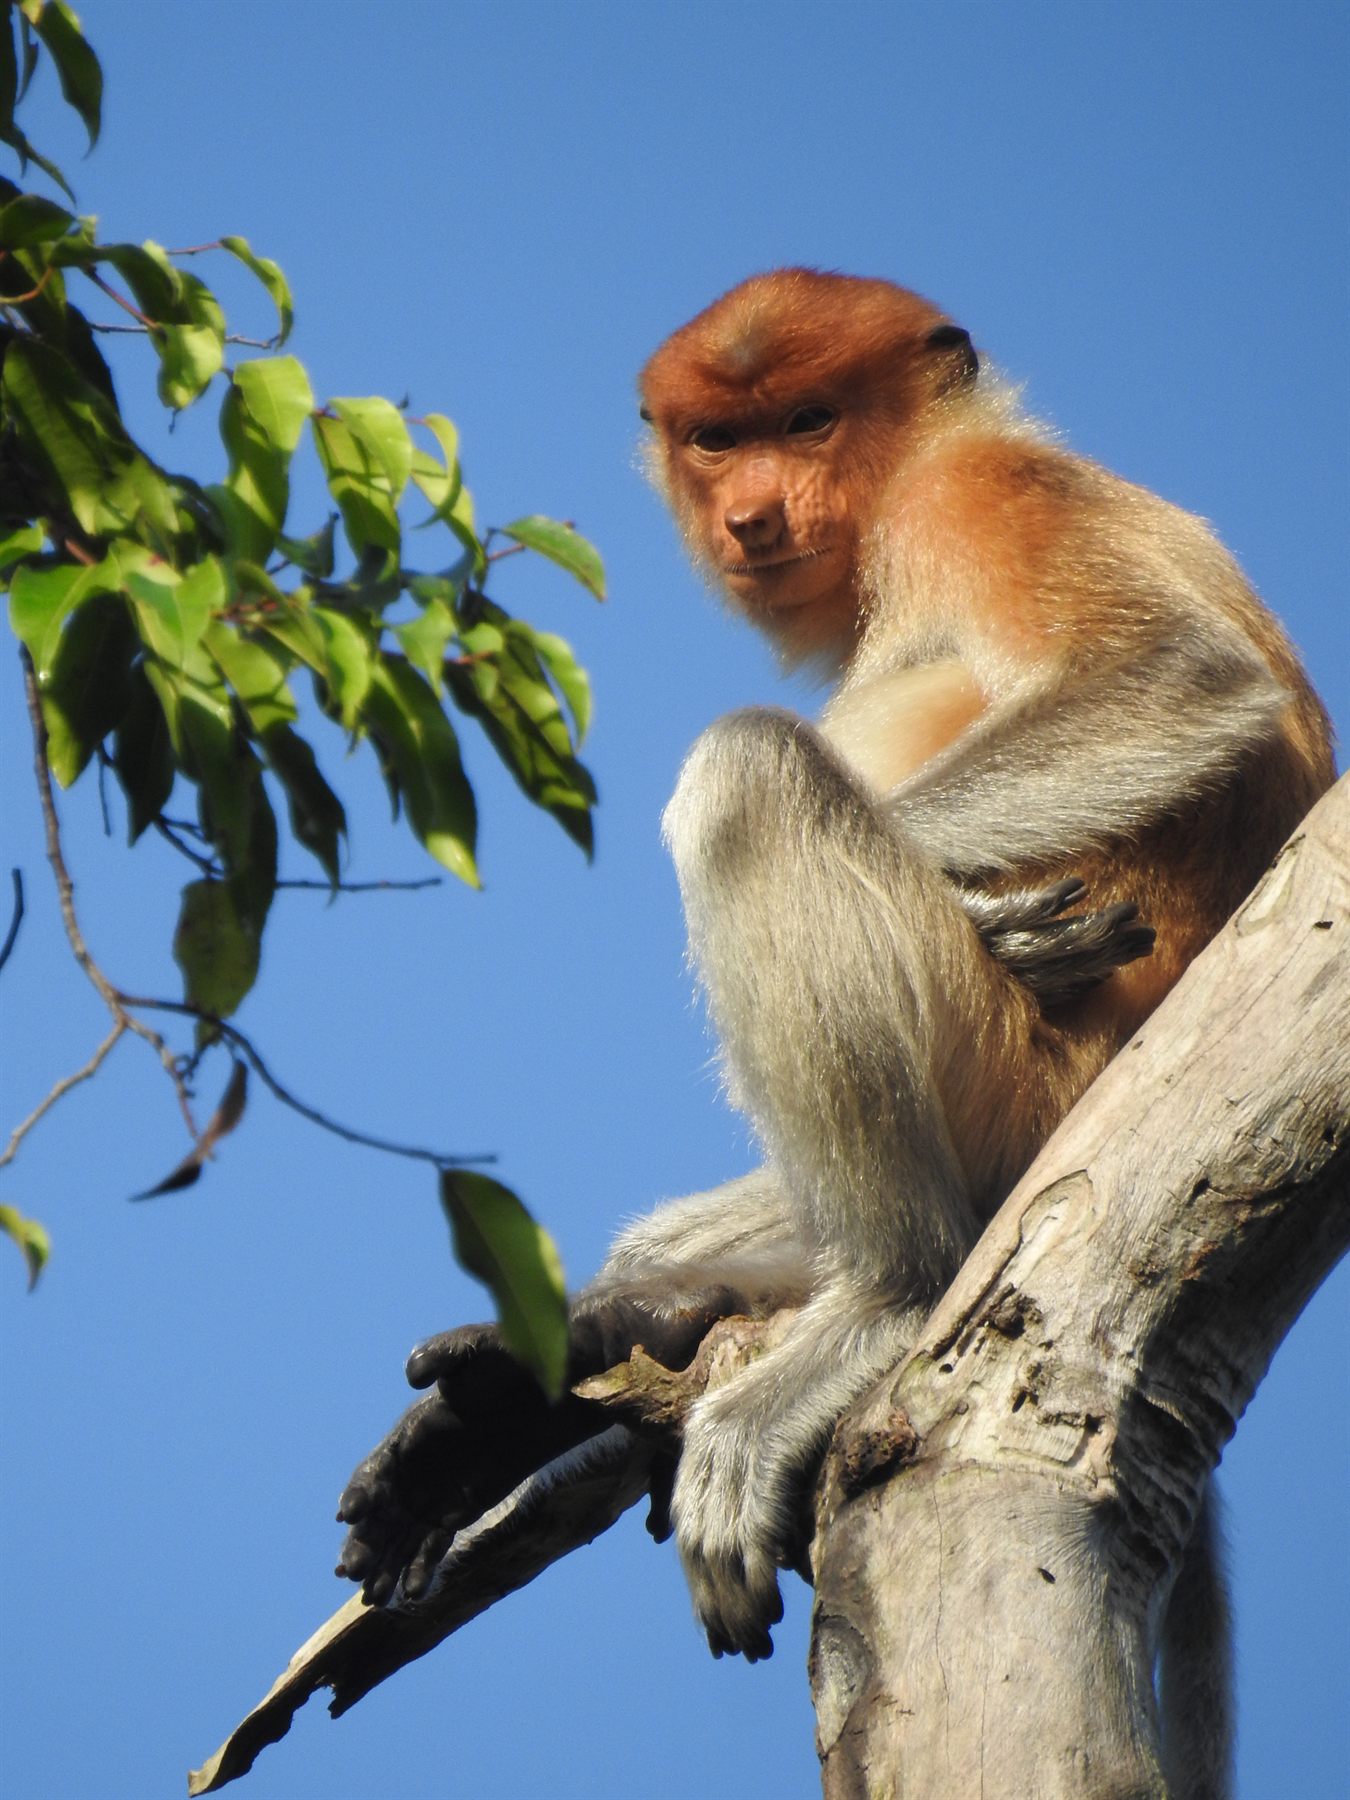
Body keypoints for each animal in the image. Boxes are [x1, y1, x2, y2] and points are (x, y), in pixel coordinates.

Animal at [336, 271, 1332, 1789]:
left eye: (810, 421)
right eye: (719, 437)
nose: (753, 514)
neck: (923, 463)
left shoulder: (981, 502)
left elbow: (1181, 682)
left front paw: (1005, 920)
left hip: (1012, 1076)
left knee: (750, 779)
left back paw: (884, 1297)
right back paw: (611, 1335)